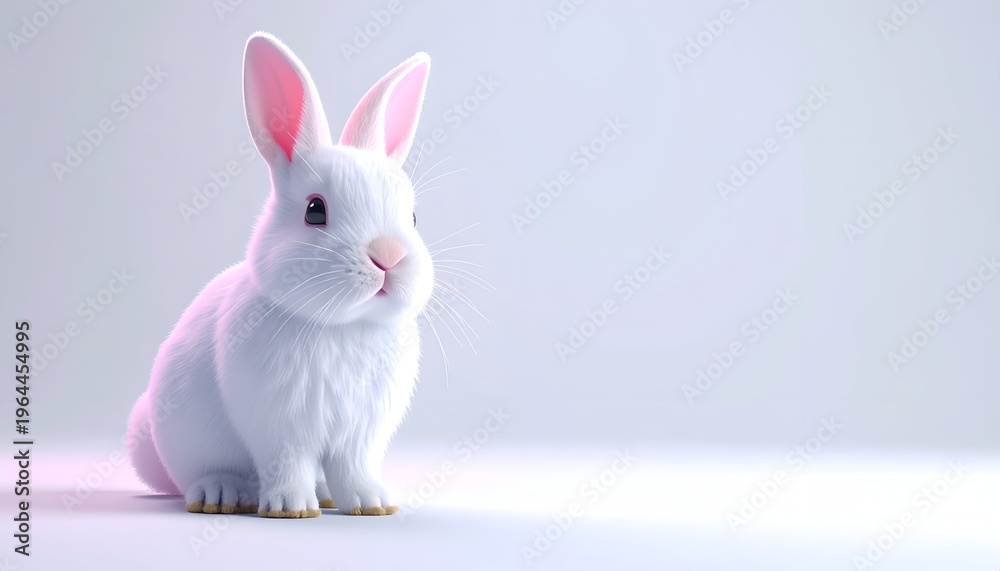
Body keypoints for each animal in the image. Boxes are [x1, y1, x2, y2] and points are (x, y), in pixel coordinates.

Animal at [126, 32, 434, 517]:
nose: (388, 256)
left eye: (415, 217)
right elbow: (287, 462)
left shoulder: (360, 433)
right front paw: (291, 507)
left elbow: (354, 466)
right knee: (207, 475)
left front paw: (372, 503)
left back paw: (325, 494)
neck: (341, 326)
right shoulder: (279, 426)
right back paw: (222, 495)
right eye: (315, 211)